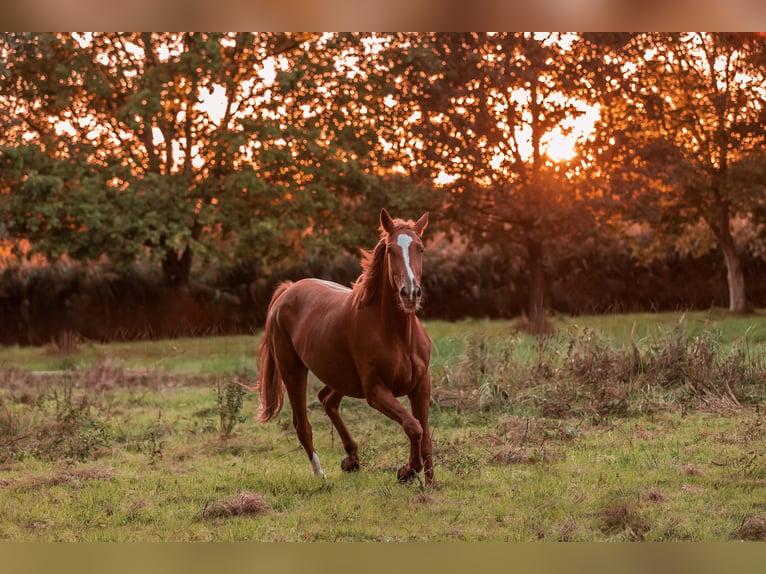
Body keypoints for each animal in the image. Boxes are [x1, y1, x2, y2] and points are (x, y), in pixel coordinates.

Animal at [258, 209, 436, 488]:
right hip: (293, 372)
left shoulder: (421, 386)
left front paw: (430, 483)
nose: (410, 293)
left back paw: (351, 458)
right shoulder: (376, 392)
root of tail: (288, 291)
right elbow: (413, 427)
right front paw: (407, 471)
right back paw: (321, 476)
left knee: (327, 400)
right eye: (390, 250)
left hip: (340, 377)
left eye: (421, 248)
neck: (398, 335)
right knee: (302, 425)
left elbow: (424, 436)